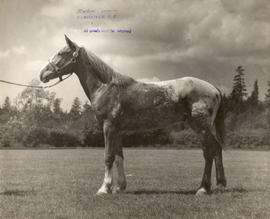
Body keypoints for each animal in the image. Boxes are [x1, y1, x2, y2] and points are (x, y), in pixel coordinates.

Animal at [39, 35, 226, 196]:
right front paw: (119, 187)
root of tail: (214, 89)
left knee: (208, 152)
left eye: (62, 53)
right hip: (203, 127)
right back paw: (220, 185)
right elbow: (119, 157)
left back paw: (203, 188)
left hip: (201, 126)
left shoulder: (108, 127)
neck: (106, 87)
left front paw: (104, 188)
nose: (42, 74)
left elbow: (108, 157)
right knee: (216, 148)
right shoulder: (117, 130)